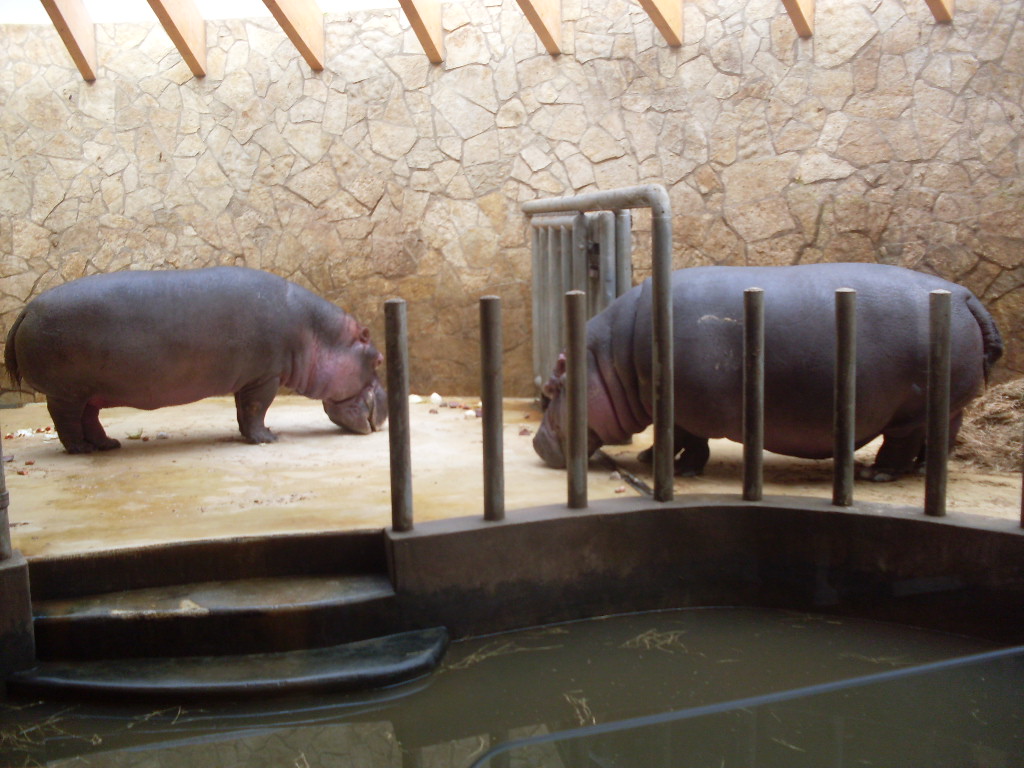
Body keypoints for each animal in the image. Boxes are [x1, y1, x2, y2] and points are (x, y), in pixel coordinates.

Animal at [4, 266, 388, 453]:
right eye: (380, 359)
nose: (384, 406)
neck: (317, 333)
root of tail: (27, 310)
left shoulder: (249, 378)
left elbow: (243, 411)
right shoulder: (265, 377)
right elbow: (257, 410)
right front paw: (270, 438)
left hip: (88, 391)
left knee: (89, 418)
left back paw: (106, 445)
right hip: (66, 392)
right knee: (66, 421)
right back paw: (82, 449)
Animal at [534, 263, 1002, 480]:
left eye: (553, 389)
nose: (537, 443)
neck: (609, 361)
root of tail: (963, 294)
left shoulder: (689, 410)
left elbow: (690, 441)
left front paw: (681, 470)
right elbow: (671, 437)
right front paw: (649, 457)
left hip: (910, 409)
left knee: (902, 441)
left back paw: (879, 473)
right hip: (944, 406)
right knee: (941, 434)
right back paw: (922, 471)